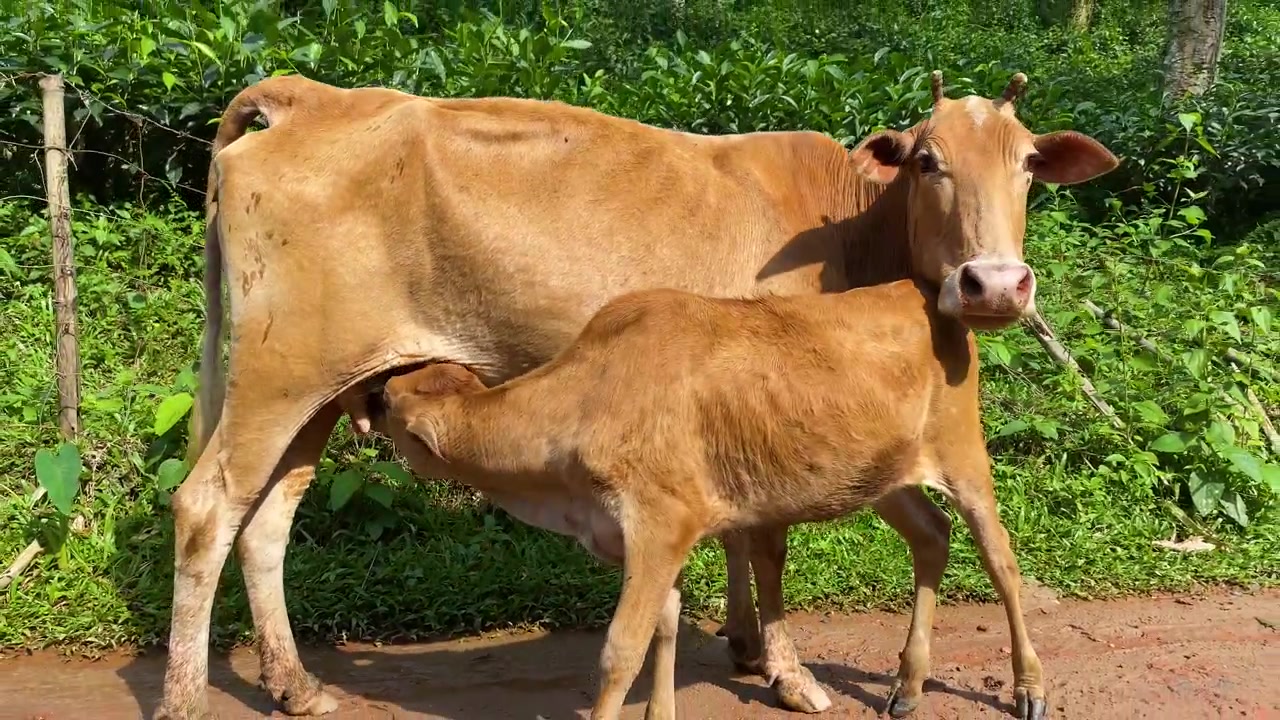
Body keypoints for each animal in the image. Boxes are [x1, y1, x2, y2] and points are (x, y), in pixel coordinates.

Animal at [373, 264, 1045, 719]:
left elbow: (621, 649)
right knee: (932, 536)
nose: (370, 396)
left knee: (1002, 559)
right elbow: (667, 624)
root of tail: (920, 290)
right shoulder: (639, 539)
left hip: (963, 455)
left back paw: (1028, 688)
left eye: (388, 404)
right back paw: (907, 687)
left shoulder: (661, 523)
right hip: (881, 475)